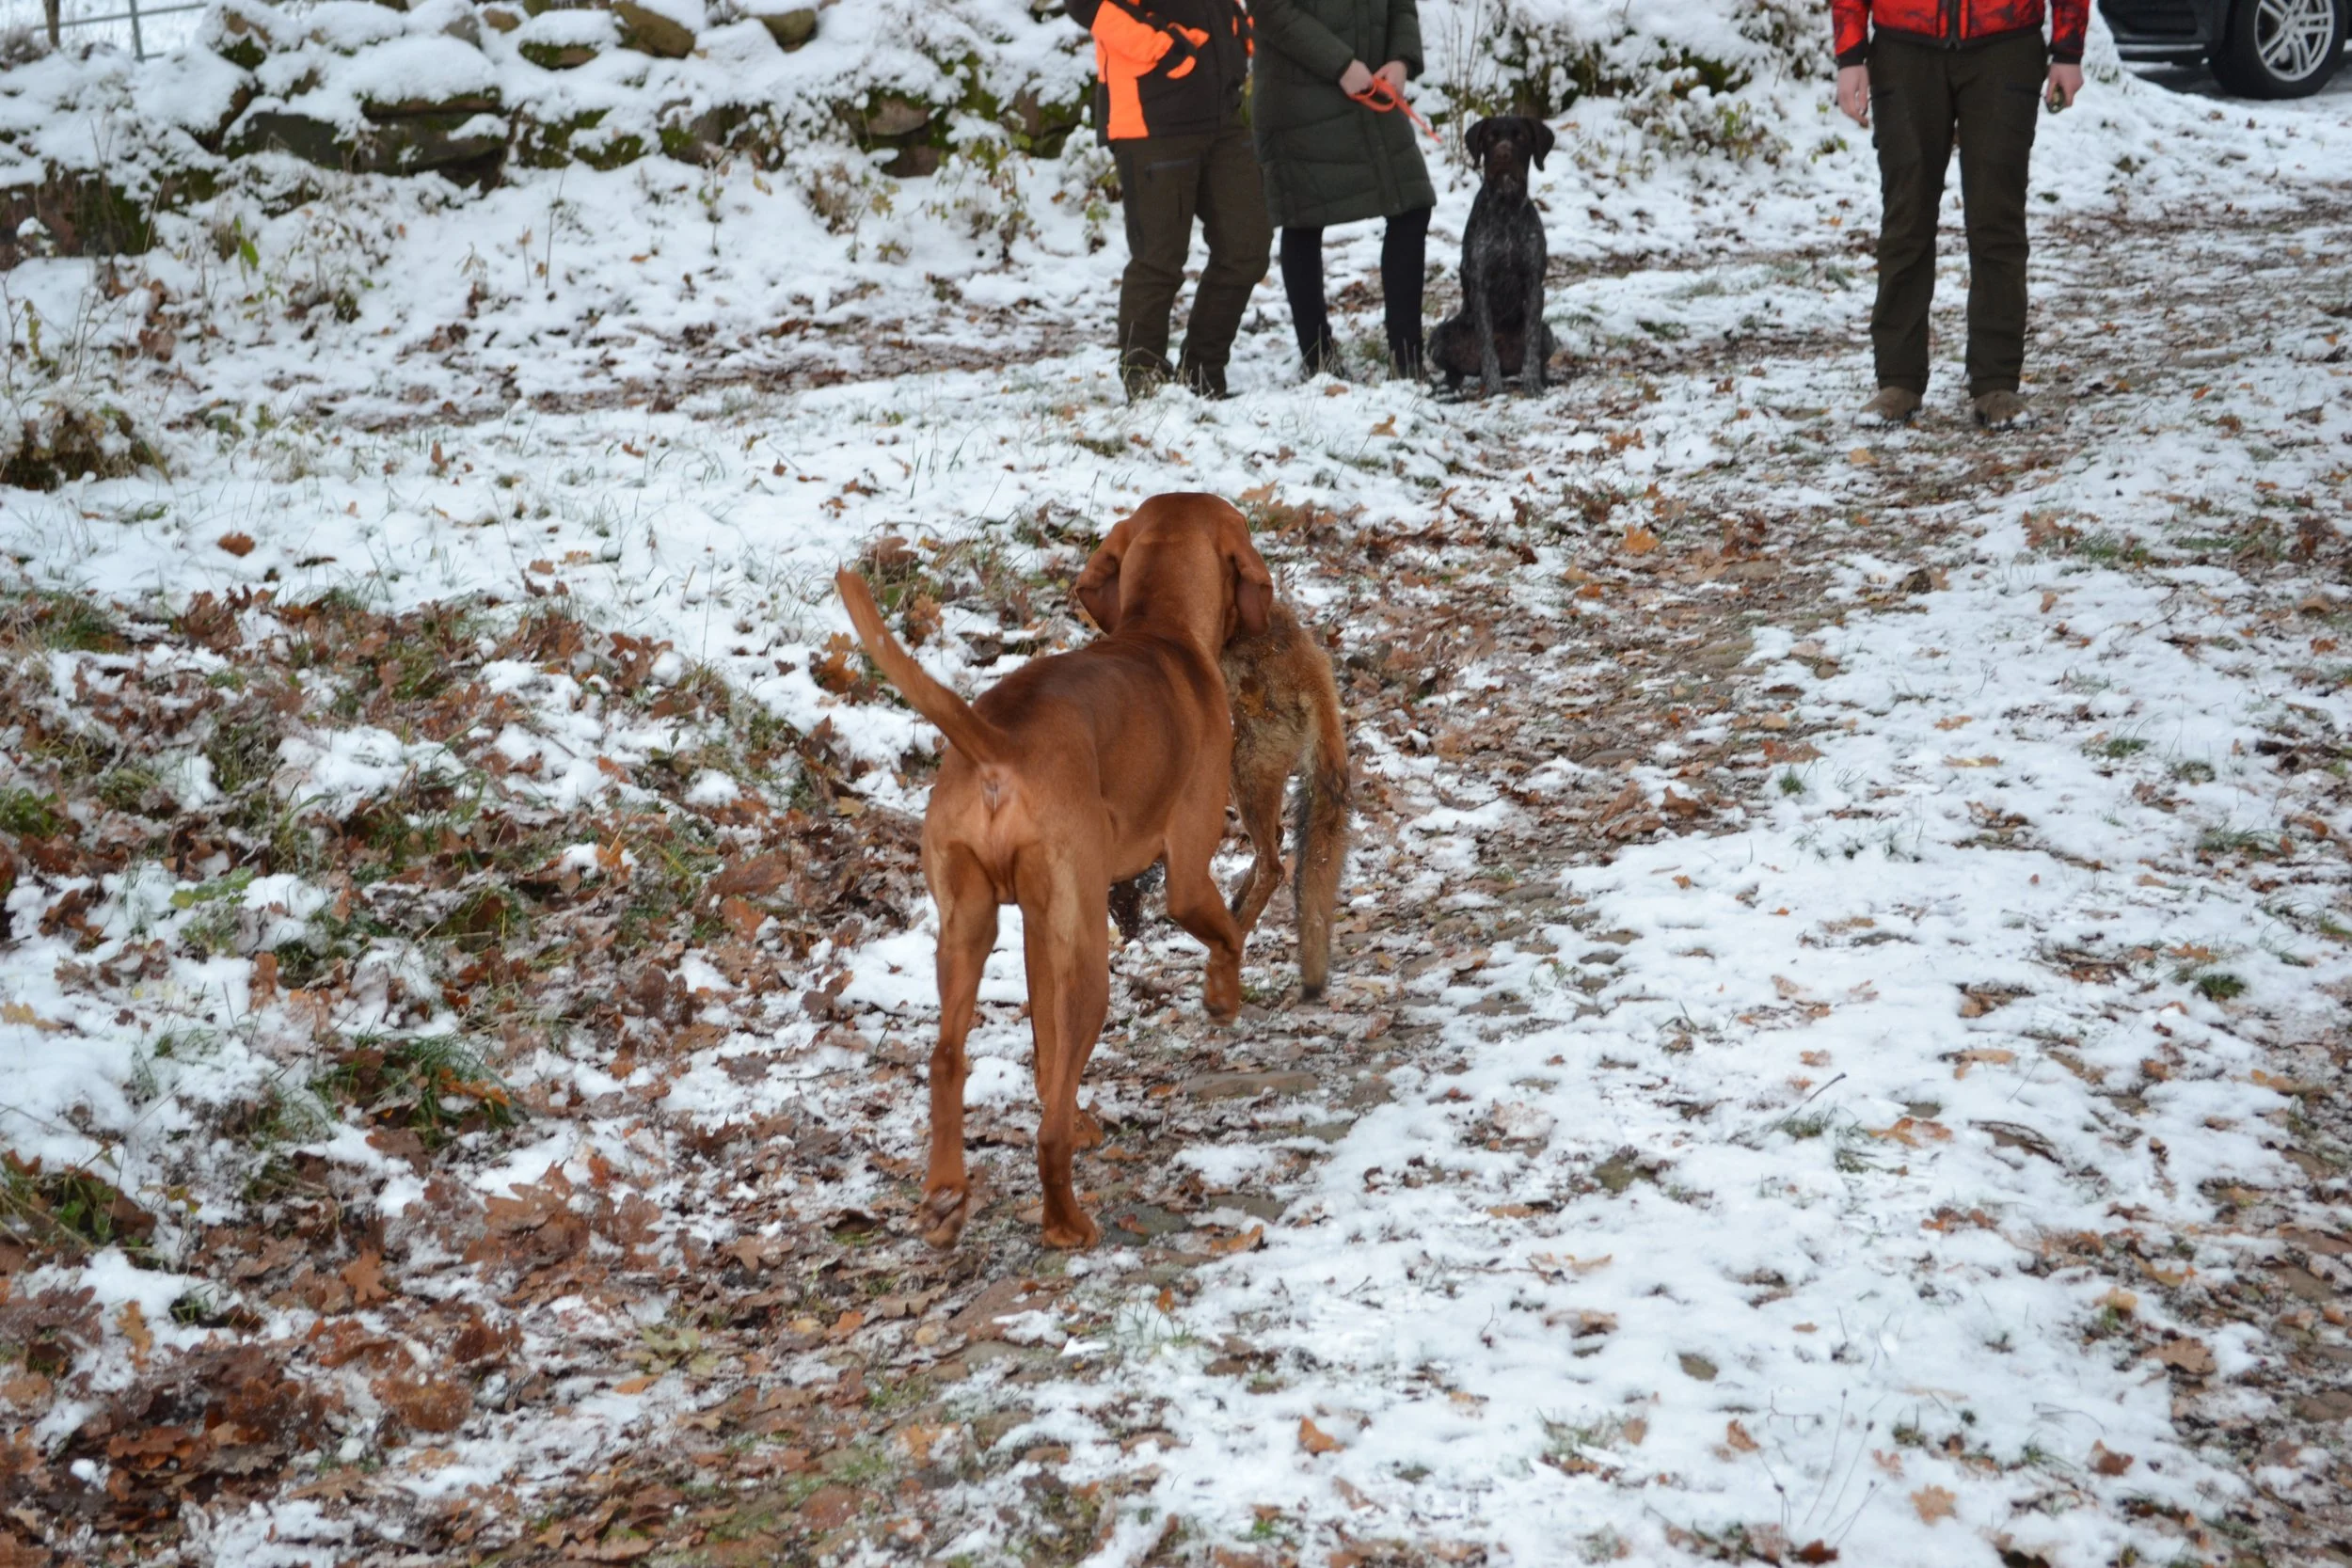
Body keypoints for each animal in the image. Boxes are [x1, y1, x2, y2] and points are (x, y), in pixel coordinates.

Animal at [834, 493, 1272, 1251]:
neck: (1160, 630)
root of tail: (1000, 744)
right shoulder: (1186, 874)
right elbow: (1227, 930)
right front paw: (1222, 995)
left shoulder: (1041, 929)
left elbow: (1045, 1053)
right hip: (1089, 961)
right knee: (1047, 1134)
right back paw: (1066, 1222)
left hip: (971, 927)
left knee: (948, 1058)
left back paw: (946, 1198)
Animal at [1110, 602, 1350, 1001]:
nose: (1126, 931)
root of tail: (1312, 663)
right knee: (1278, 838)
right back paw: (1233, 913)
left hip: (1240, 767)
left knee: (1274, 867)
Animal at [1428, 115, 1559, 396]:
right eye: (1490, 137)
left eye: (1520, 136)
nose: (1503, 154)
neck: (1506, 205)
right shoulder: (1481, 286)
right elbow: (1487, 344)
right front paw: (1495, 387)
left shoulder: (1534, 285)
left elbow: (1531, 345)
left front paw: (1532, 384)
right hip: (1439, 336)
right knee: (1454, 372)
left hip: (1548, 334)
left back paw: (1544, 380)